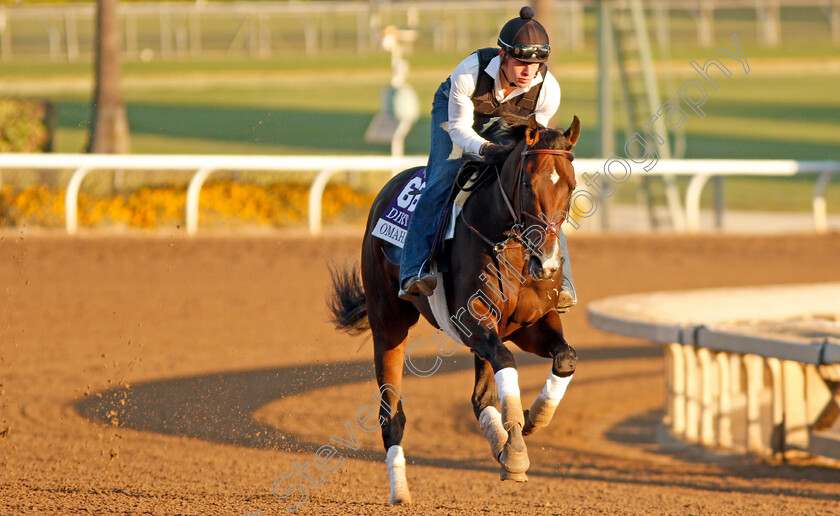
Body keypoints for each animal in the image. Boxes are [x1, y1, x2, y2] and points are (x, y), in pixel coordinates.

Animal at [332, 116, 580, 504]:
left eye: (570, 185)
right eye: (528, 182)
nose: (547, 262)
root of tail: (390, 186)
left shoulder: (530, 323)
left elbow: (564, 357)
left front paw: (531, 420)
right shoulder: (471, 319)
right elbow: (506, 361)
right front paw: (516, 448)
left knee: (481, 397)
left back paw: (499, 442)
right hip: (388, 322)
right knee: (392, 414)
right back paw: (400, 491)